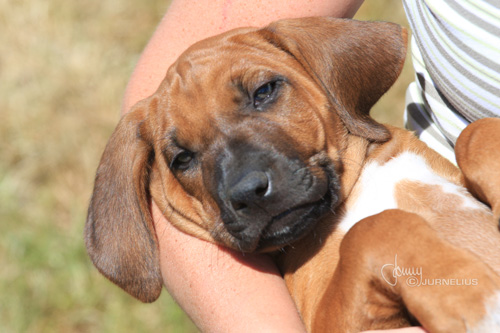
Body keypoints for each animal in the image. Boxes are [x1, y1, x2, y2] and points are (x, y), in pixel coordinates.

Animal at [85, 16, 500, 330]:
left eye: (264, 91)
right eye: (182, 159)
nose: (248, 192)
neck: (356, 192)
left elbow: (476, 133)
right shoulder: (334, 320)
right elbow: (373, 228)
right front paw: (468, 297)